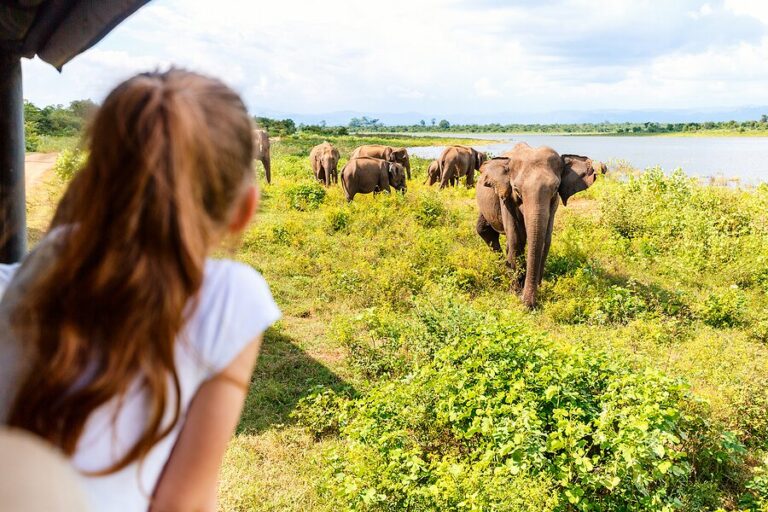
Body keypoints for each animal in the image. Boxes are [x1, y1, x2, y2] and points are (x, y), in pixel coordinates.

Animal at [474, 141, 608, 308]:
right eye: (516, 190)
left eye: (556, 189)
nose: (527, 304)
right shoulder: (506, 197)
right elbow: (516, 239)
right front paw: (515, 291)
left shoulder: (554, 203)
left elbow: (545, 239)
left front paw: (536, 287)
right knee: (485, 231)